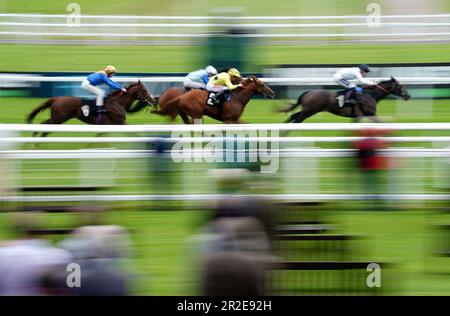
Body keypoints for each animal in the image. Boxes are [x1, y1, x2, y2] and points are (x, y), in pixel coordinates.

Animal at [26, 81, 156, 136]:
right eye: (144, 90)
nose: (153, 100)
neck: (118, 103)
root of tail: (57, 98)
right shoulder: (120, 122)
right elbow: (134, 133)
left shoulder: (108, 125)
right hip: (58, 119)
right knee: (44, 126)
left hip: (57, 119)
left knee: (45, 126)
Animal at [282, 76, 412, 123]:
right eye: (401, 86)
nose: (408, 96)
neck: (371, 95)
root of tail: (308, 92)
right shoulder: (370, 114)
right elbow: (381, 123)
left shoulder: (358, 116)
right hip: (309, 111)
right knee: (297, 120)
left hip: (308, 110)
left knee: (293, 116)